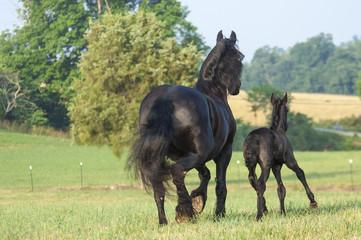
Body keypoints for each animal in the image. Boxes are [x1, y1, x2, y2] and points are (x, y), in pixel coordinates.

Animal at [126, 30, 242, 225]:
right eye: (240, 58)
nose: (237, 88)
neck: (212, 91)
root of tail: (165, 99)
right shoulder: (224, 152)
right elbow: (220, 184)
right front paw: (217, 213)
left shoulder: (187, 154)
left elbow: (205, 174)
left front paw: (198, 200)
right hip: (199, 154)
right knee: (177, 172)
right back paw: (184, 211)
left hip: (162, 156)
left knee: (159, 186)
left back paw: (164, 221)